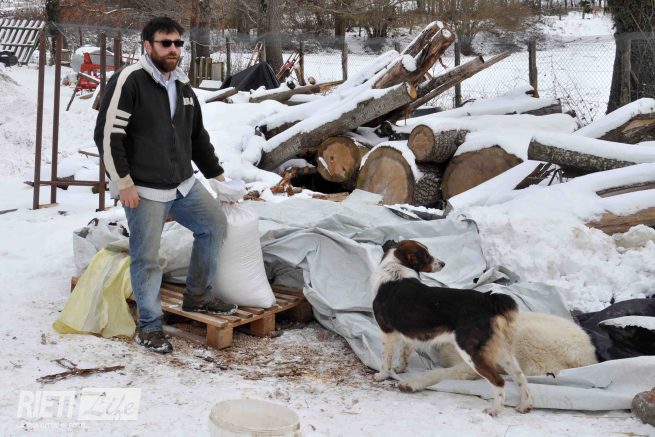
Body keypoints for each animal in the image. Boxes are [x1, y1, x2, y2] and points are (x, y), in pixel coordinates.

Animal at [371, 240, 533, 416]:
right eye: (427, 256)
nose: (443, 263)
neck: (396, 269)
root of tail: (487, 299)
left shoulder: (386, 332)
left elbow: (385, 360)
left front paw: (381, 375)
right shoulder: (408, 334)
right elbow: (404, 354)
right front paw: (400, 368)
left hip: (471, 352)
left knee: (499, 381)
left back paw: (495, 410)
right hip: (502, 352)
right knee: (520, 377)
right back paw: (525, 405)